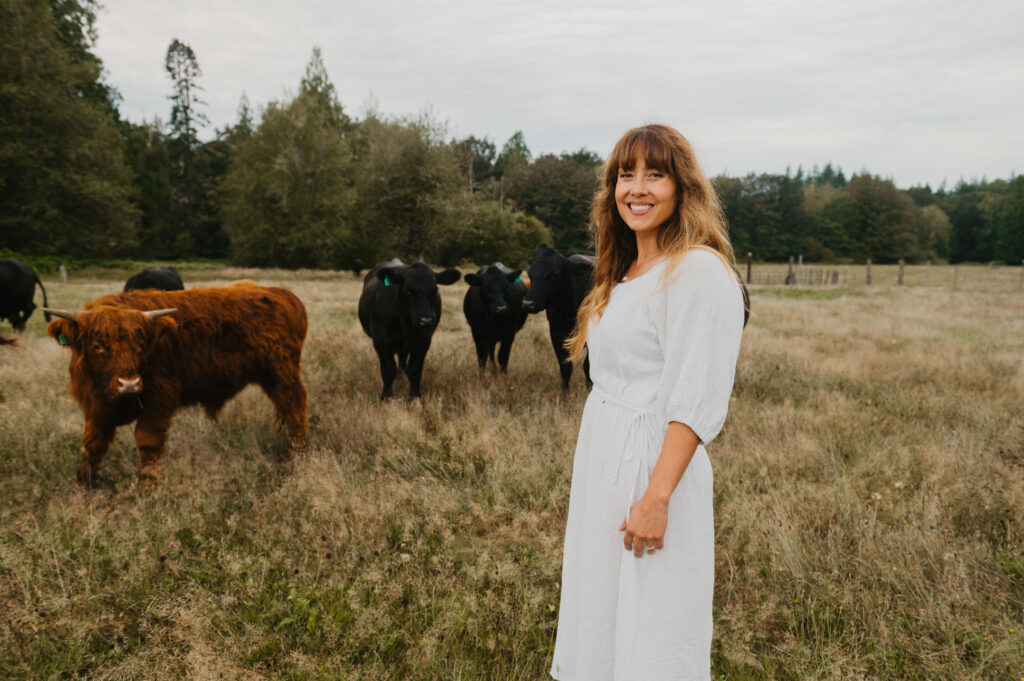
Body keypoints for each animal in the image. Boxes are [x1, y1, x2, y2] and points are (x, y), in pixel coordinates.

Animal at [356, 259, 460, 399]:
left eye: (434, 290)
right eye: (408, 291)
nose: (426, 320)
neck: (405, 322)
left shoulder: (423, 340)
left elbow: (414, 371)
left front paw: (415, 397)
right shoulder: (380, 340)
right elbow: (388, 370)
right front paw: (387, 397)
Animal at [524, 242, 598, 387]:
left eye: (554, 274)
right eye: (530, 273)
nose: (527, 303)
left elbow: (588, 367)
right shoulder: (556, 335)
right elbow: (565, 368)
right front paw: (564, 392)